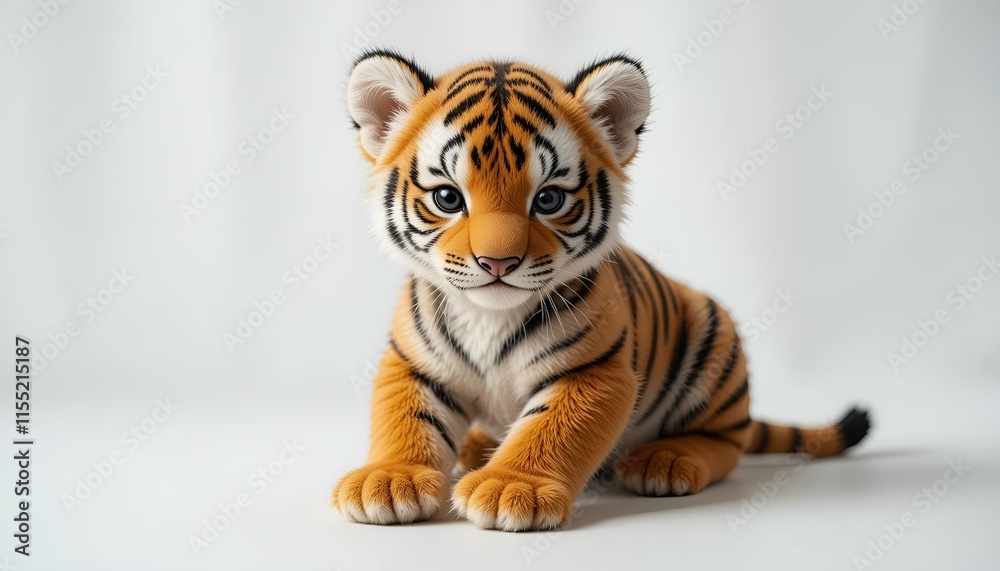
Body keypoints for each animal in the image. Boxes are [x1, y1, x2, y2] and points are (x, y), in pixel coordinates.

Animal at [332, 49, 872, 532]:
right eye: (447, 197)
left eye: (548, 199)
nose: (498, 263)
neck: (490, 316)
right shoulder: (413, 363)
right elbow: (404, 420)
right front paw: (388, 481)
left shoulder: (595, 369)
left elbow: (551, 428)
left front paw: (512, 488)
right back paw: (477, 448)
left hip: (714, 340)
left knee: (726, 443)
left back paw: (664, 460)